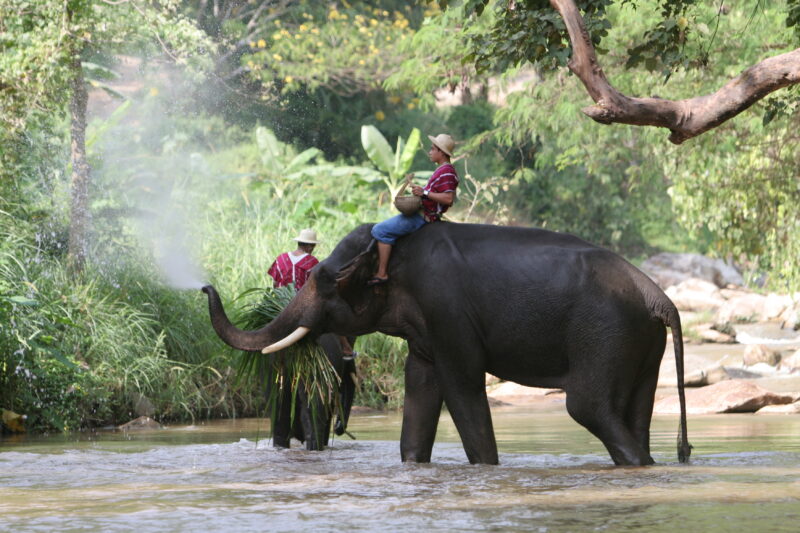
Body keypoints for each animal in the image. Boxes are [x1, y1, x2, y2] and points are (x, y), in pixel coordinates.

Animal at [203, 222, 691, 466]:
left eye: (323, 279)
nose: (205, 285)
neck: (398, 249)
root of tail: (660, 297)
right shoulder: (427, 328)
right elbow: (421, 384)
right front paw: (414, 464)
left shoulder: (448, 311)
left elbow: (461, 384)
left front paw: (487, 468)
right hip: (640, 343)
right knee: (635, 411)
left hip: (605, 332)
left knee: (586, 406)